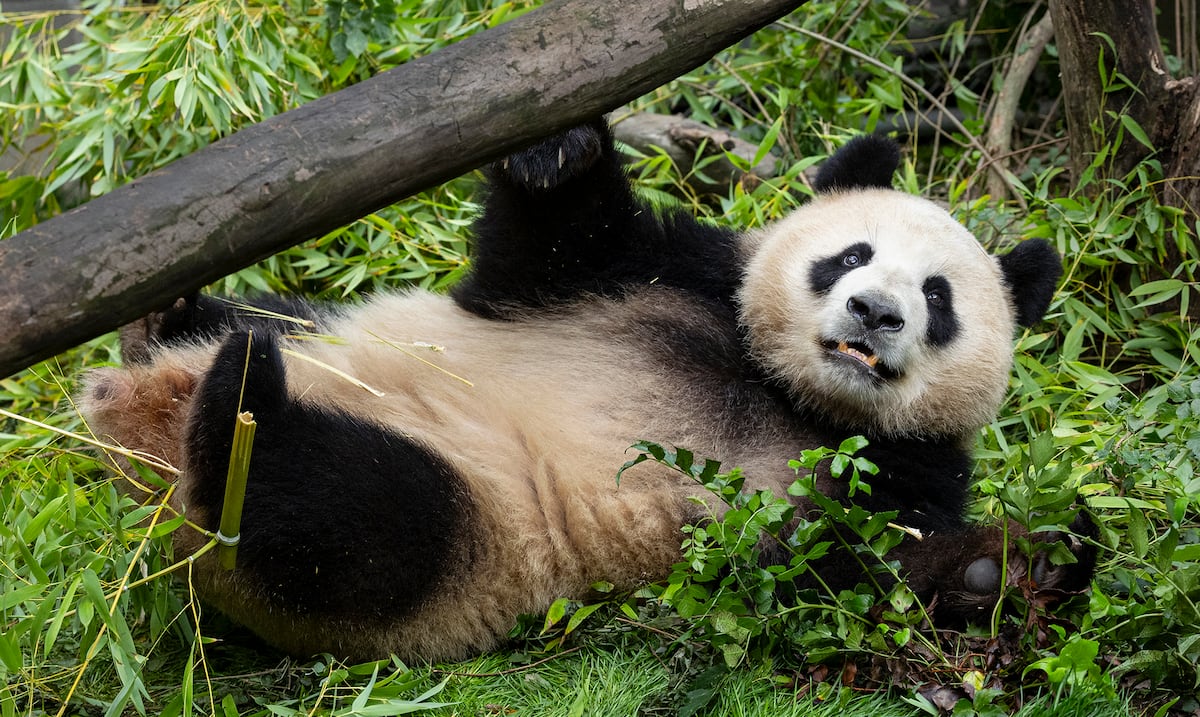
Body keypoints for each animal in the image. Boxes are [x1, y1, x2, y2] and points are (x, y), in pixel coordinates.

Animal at [79, 119, 1092, 662]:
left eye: (939, 298)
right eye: (850, 255)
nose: (876, 311)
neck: (786, 391)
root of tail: (140, 433)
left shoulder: (896, 470)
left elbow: (828, 576)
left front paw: (1008, 567)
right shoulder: (665, 275)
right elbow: (545, 251)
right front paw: (560, 149)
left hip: (468, 540)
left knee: (348, 516)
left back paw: (236, 418)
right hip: (321, 332)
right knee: (264, 333)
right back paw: (171, 323)